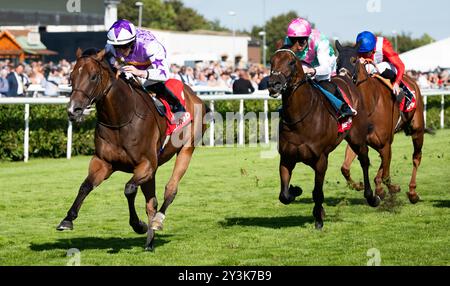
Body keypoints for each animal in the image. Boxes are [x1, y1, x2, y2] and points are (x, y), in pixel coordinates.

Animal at [55, 48, 207, 250]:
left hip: (186, 149)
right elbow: (85, 186)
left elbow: (129, 189)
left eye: (93, 76)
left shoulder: (146, 164)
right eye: (71, 77)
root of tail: (193, 95)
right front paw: (67, 219)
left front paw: (138, 225)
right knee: (152, 203)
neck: (121, 119)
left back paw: (157, 221)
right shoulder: (103, 162)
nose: (74, 110)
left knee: (170, 190)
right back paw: (150, 242)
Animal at [268, 47, 380, 230]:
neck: (300, 119)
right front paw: (296, 190)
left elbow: (317, 192)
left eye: (291, 62)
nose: (274, 84)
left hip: (357, 138)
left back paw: (371, 197)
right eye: (271, 61)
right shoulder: (286, 158)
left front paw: (319, 219)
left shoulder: (321, 160)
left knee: (364, 160)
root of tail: (345, 77)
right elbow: (283, 195)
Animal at [338, 41, 426, 204]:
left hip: (417, 129)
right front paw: (359, 185)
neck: (369, 104)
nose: (341, 78)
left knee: (416, 157)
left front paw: (389, 189)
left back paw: (412, 192)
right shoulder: (359, 141)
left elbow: (385, 175)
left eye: (354, 60)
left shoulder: (384, 142)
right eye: (336, 60)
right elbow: (345, 168)